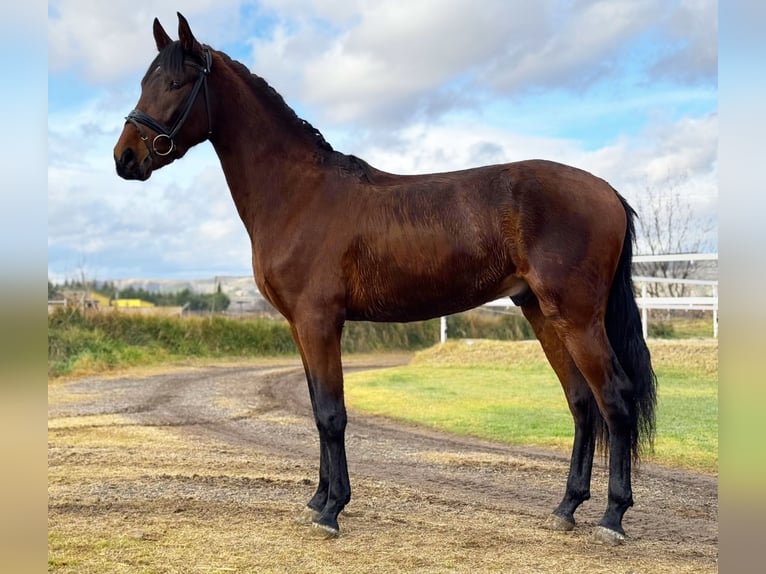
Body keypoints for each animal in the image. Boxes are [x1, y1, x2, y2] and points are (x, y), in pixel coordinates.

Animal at [115, 11, 660, 548]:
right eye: (143, 81)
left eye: (176, 82)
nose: (125, 158)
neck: (299, 194)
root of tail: (607, 191)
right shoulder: (300, 327)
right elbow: (316, 409)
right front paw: (317, 499)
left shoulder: (318, 322)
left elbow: (331, 413)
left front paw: (331, 511)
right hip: (542, 314)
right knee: (582, 403)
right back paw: (566, 508)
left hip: (577, 317)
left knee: (615, 398)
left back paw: (613, 517)